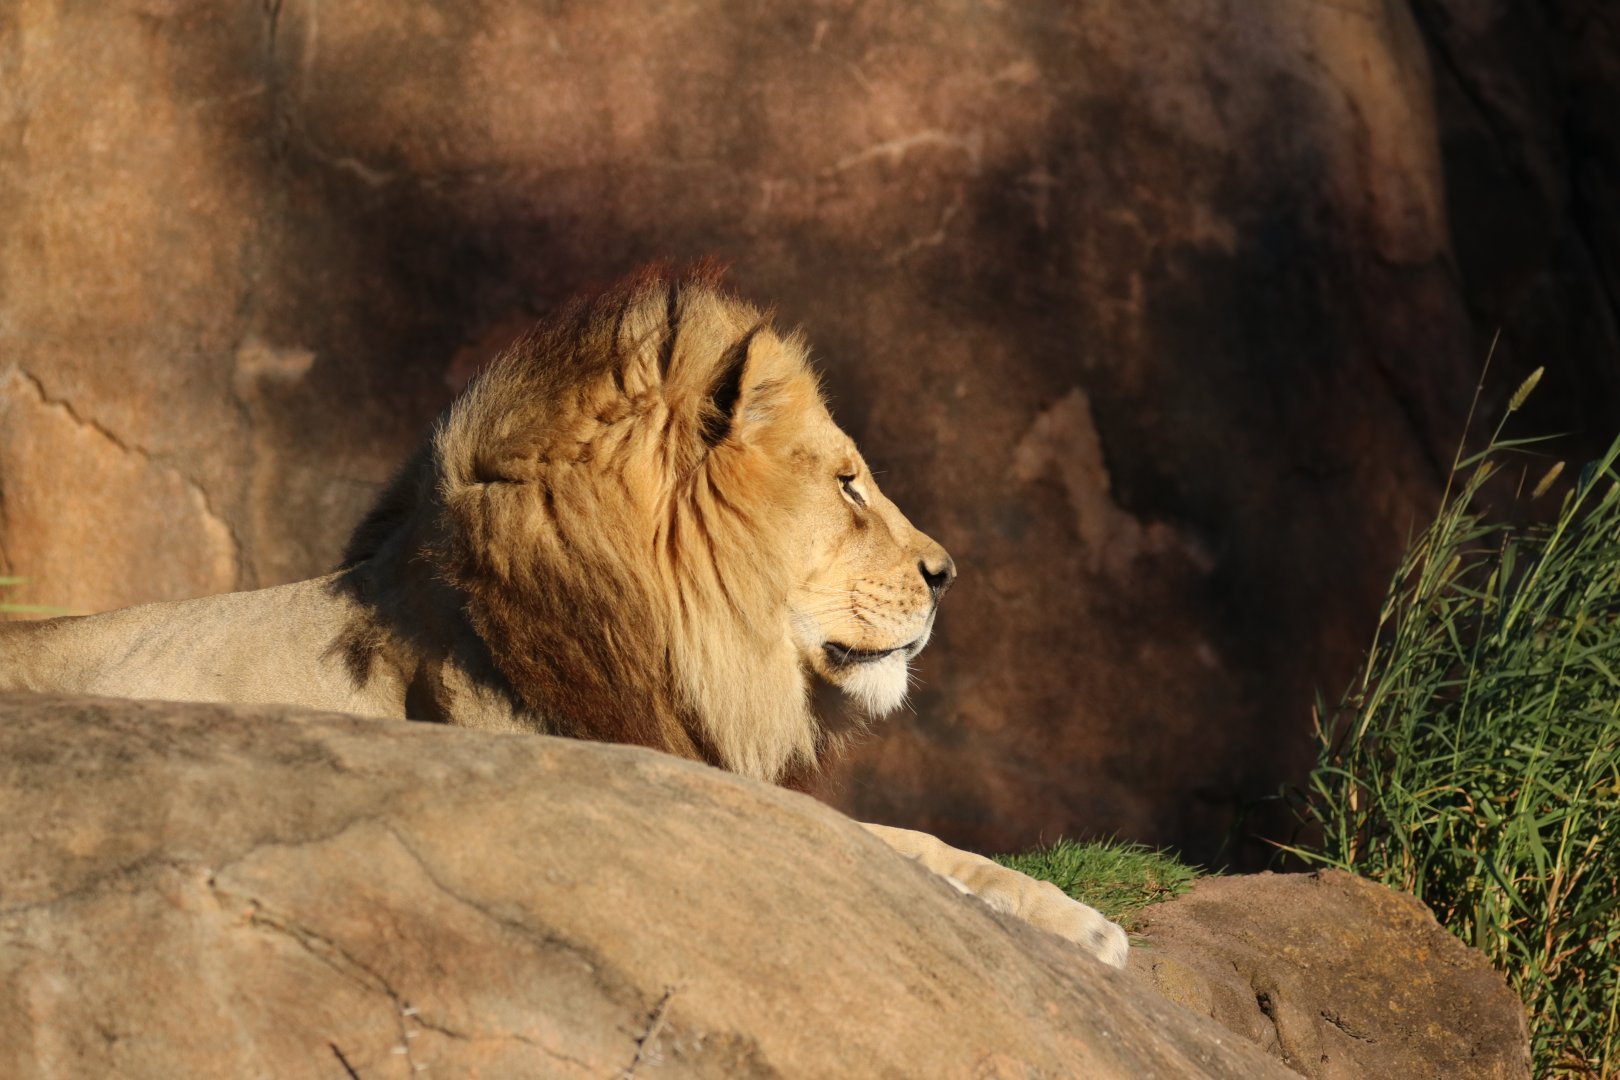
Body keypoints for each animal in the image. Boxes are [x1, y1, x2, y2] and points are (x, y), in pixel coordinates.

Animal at [0, 267, 1128, 968]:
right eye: (850, 485)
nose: (948, 573)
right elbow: (883, 845)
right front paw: (1070, 920)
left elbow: (912, 842)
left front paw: (1073, 919)